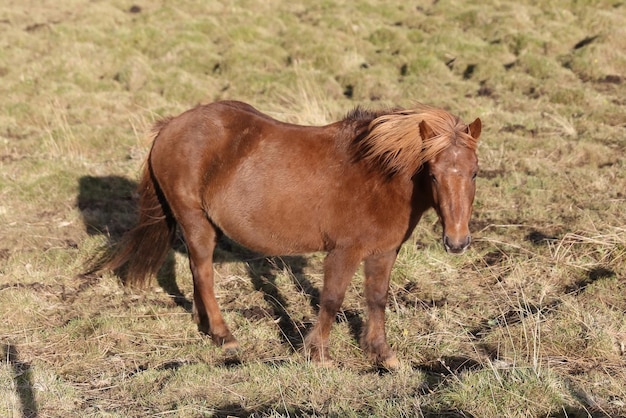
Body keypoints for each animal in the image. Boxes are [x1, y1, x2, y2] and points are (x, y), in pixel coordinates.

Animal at [100, 99, 480, 368]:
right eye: (432, 173)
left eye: (475, 172)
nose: (457, 242)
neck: (380, 174)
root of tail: (170, 127)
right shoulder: (344, 251)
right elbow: (332, 299)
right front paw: (319, 355)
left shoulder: (384, 251)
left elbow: (377, 299)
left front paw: (382, 354)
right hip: (196, 222)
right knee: (202, 271)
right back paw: (224, 335)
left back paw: (204, 324)